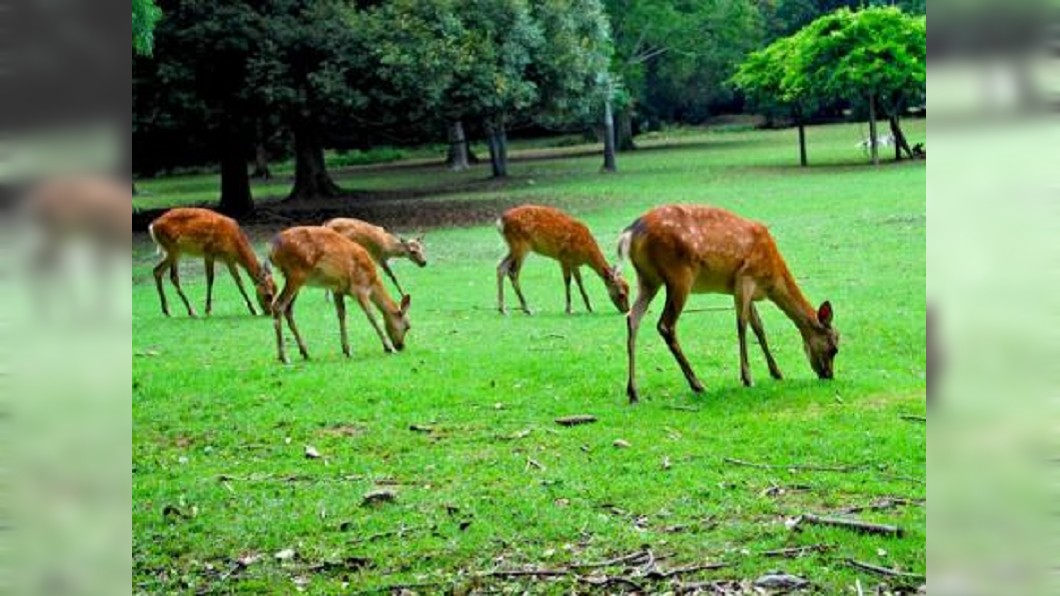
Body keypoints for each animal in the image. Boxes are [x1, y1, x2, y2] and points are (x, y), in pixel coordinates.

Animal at [148, 206, 277, 316]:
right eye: (268, 295)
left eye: (276, 291)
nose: (269, 312)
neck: (234, 242)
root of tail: (152, 226)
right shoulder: (209, 252)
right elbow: (210, 279)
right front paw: (208, 310)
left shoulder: (229, 259)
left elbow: (239, 281)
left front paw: (253, 310)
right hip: (173, 248)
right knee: (173, 276)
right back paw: (191, 311)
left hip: (172, 252)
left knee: (157, 271)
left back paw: (167, 310)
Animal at [267, 223, 411, 360]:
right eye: (407, 326)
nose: (401, 346)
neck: (372, 281)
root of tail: (272, 251)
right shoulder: (359, 288)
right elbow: (371, 316)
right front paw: (388, 348)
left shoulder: (337, 288)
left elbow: (341, 314)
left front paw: (347, 350)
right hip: (296, 274)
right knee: (278, 306)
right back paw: (284, 357)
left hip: (296, 279)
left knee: (288, 309)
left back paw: (305, 352)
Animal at [496, 203, 627, 313]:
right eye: (621, 294)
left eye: (629, 288)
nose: (626, 310)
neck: (586, 254)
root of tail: (500, 222)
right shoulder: (564, 257)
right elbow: (567, 281)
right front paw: (568, 309)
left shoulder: (574, 262)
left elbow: (579, 281)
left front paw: (589, 307)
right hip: (521, 245)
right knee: (512, 272)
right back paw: (527, 308)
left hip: (512, 246)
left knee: (501, 267)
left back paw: (502, 309)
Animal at [619, 203, 839, 402]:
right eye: (834, 348)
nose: (828, 375)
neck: (772, 280)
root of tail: (631, 233)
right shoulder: (745, 277)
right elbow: (742, 325)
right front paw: (747, 378)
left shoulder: (743, 290)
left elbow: (758, 327)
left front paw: (777, 373)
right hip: (679, 274)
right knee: (665, 324)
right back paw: (697, 385)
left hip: (647, 278)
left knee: (632, 318)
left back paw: (633, 392)